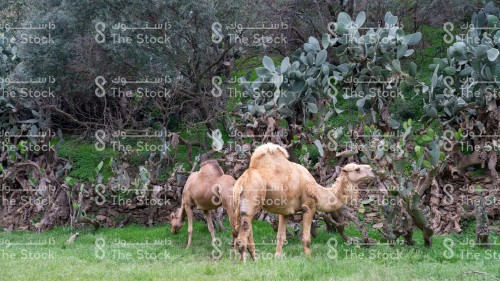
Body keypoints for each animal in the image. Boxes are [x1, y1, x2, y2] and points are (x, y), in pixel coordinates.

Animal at [234, 143, 376, 260]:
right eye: (357, 169)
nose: (371, 169)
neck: (317, 190)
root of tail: (240, 184)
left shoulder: (284, 212)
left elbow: (280, 236)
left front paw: (277, 257)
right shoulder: (309, 206)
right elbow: (306, 238)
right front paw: (309, 259)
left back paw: (254, 259)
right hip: (252, 202)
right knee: (242, 235)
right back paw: (244, 262)